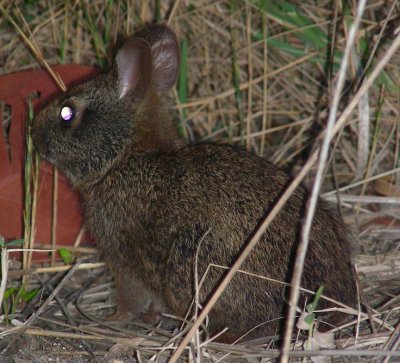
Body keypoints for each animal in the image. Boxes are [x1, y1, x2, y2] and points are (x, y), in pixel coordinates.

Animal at [32, 24, 354, 342]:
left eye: (68, 113)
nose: (34, 136)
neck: (124, 157)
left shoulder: (122, 259)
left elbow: (130, 299)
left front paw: (111, 319)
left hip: (191, 260)